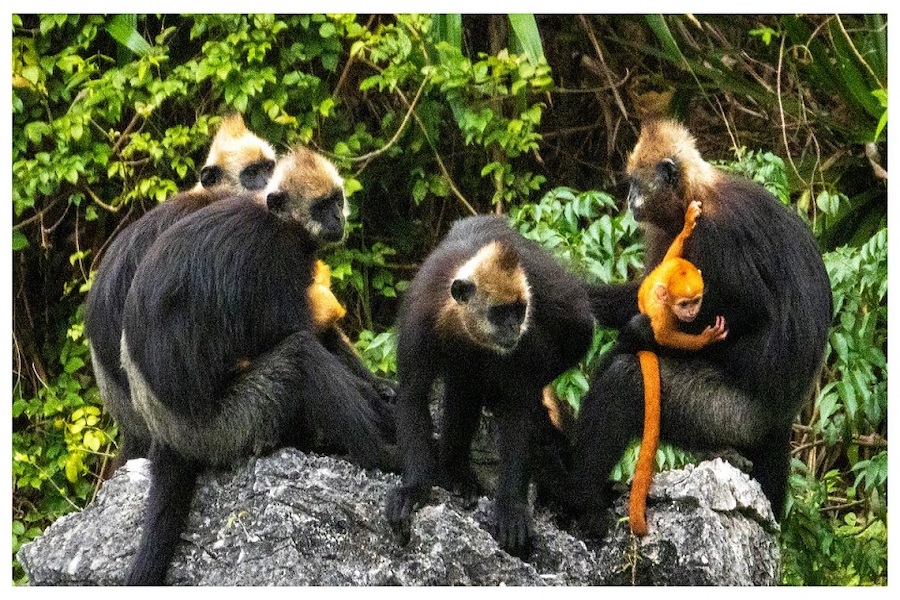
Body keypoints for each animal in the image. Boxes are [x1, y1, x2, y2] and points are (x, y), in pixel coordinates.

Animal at [628, 199, 728, 536]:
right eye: (685, 304)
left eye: (696, 300)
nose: (692, 311)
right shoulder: (662, 315)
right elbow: (664, 335)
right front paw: (705, 338)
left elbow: (672, 254)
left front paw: (687, 225)